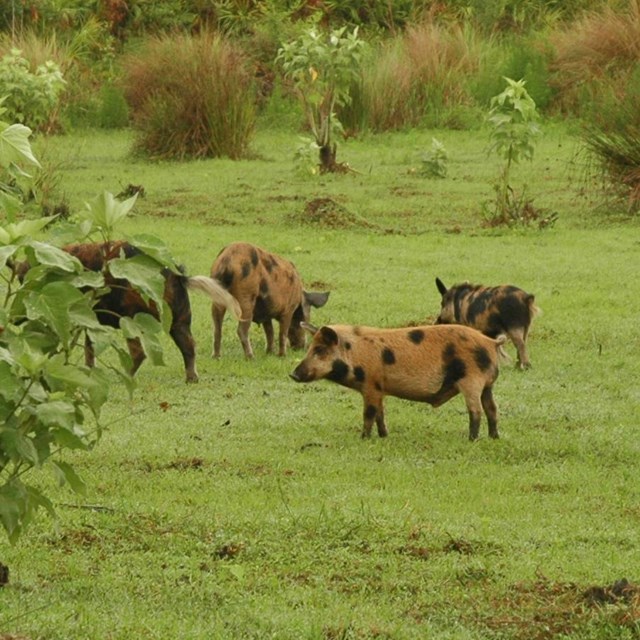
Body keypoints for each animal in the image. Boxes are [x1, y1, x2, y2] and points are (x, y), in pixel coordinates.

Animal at [50, 240, 242, 380]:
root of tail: (176, 275)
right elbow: (89, 347)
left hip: (131, 319)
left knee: (139, 353)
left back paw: (124, 377)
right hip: (180, 321)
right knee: (189, 346)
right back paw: (191, 378)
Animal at [290, 322, 504, 442]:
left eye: (319, 350)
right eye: (310, 348)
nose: (293, 375)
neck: (354, 355)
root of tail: (491, 342)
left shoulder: (370, 386)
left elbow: (369, 413)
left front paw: (363, 438)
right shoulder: (378, 389)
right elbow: (380, 414)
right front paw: (384, 436)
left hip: (472, 380)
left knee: (476, 411)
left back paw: (472, 439)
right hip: (488, 385)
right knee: (492, 409)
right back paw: (494, 437)